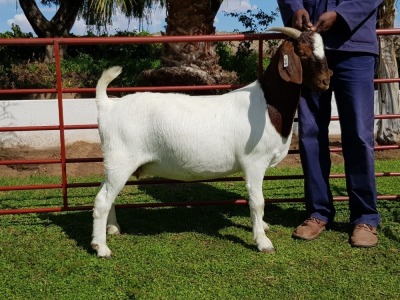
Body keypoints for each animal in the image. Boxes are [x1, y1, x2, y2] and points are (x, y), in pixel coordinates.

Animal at [90, 27, 332, 258]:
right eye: (302, 52)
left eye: (324, 50)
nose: (325, 82)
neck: (268, 105)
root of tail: (107, 106)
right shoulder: (254, 162)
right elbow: (258, 200)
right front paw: (263, 242)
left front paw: (262, 226)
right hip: (122, 159)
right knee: (102, 200)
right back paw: (101, 248)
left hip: (115, 163)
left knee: (105, 192)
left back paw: (112, 229)